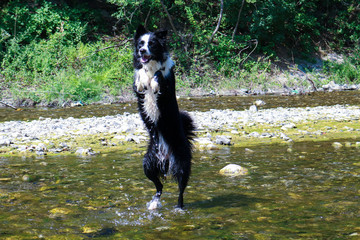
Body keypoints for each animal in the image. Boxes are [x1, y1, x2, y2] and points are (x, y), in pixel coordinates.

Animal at [133, 24, 195, 210]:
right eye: (140, 43)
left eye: (152, 44)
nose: (142, 50)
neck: (151, 65)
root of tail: (165, 158)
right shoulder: (137, 91)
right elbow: (140, 75)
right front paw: (143, 80)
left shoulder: (166, 89)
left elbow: (160, 75)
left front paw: (154, 81)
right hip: (147, 164)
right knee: (159, 186)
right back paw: (154, 203)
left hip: (181, 164)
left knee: (181, 190)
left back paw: (179, 208)